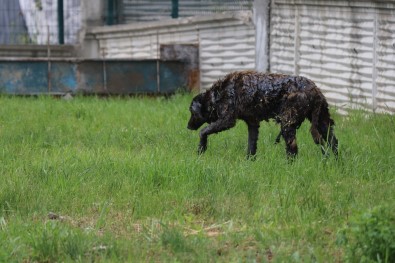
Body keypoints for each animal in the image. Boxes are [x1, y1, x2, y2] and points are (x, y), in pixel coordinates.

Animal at [187, 70, 338, 160]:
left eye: (192, 112)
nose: (188, 127)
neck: (217, 94)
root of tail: (314, 90)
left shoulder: (227, 120)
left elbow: (203, 131)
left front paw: (201, 149)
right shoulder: (253, 123)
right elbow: (251, 146)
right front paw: (249, 162)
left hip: (287, 123)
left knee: (293, 148)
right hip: (323, 122)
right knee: (334, 142)